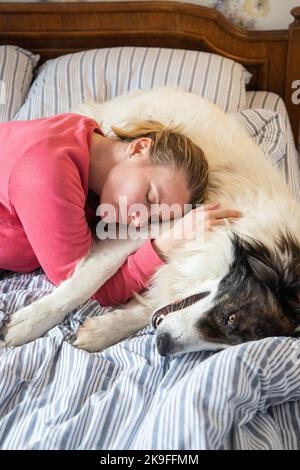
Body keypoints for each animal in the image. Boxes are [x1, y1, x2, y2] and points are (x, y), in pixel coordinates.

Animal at [4, 85, 300, 356]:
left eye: (222, 347)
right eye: (231, 317)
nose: (163, 345)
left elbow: (151, 305)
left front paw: (104, 330)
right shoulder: (150, 227)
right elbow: (88, 280)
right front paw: (30, 323)